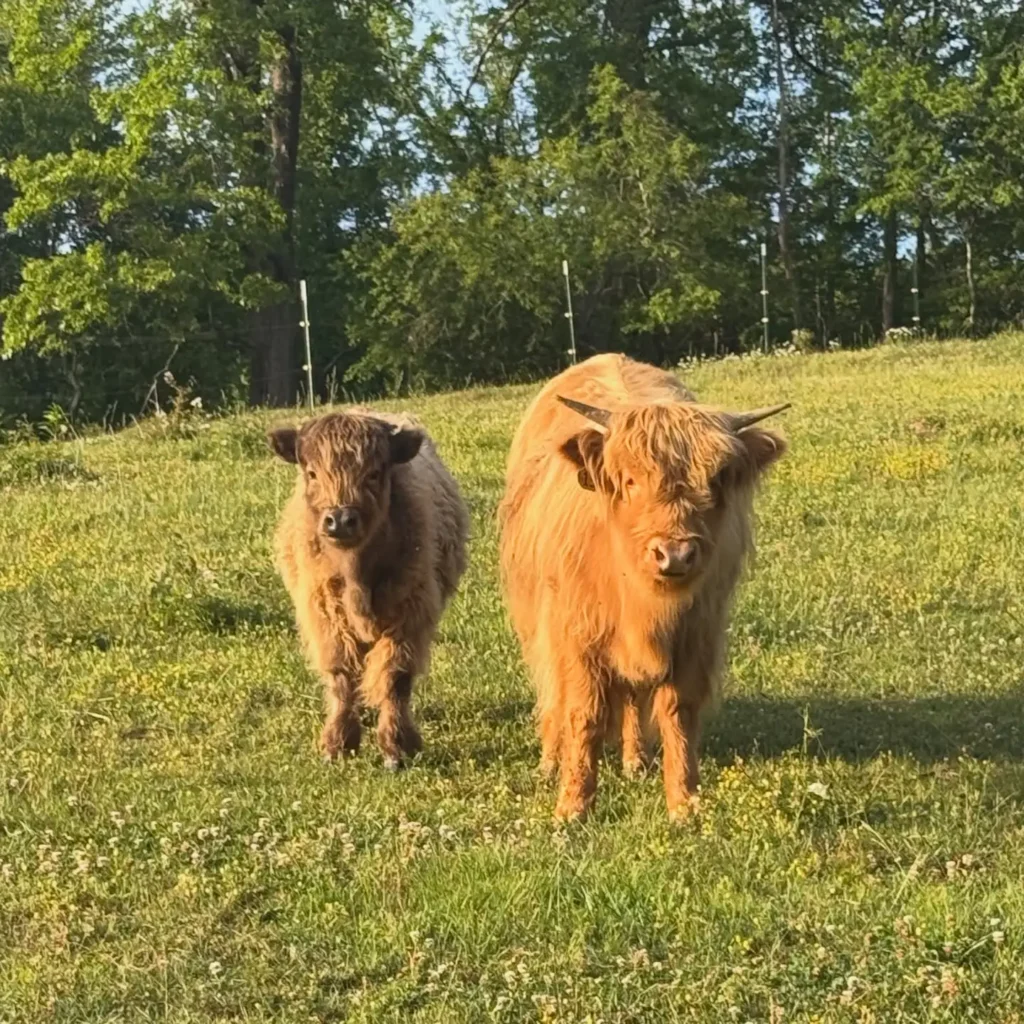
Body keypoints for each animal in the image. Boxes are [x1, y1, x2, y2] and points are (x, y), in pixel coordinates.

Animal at [268, 409, 468, 769]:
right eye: (312, 473)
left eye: (374, 473)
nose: (340, 520)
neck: (355, 575)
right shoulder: (324, 615)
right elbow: (342, 676)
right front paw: (337, 743)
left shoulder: (409, 612)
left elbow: (394, 676)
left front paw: (396, 748)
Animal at [498, 354, 788, 821]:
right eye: (630, 480)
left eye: (716, 481)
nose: (674, 555)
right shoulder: (576, 637)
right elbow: (583, 712)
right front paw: (573, 806)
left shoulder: (696, 635)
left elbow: (678, 712)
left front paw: (684, 802)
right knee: (552, 696)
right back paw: (549, 762)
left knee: (633, 697)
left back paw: (635, 760)